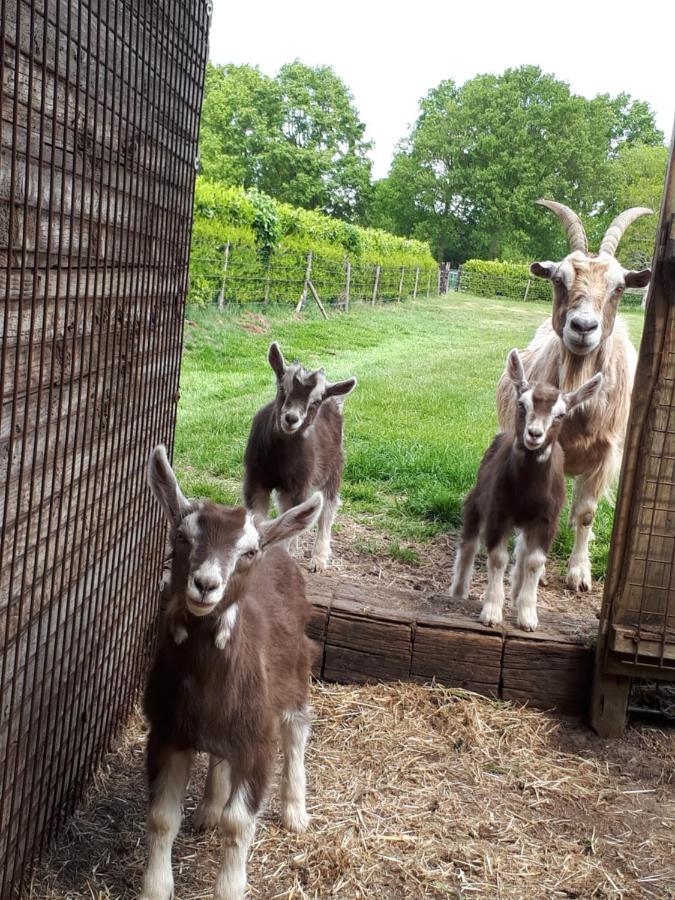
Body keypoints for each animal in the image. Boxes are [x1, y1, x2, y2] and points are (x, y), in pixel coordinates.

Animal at [140, 444, 322, 900]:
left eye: (247, 552)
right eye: (182, 536)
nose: (205, 585)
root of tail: (281, 545)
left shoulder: (258, 740)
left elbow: (239, 822)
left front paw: (229, 886)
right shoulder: (166, 732)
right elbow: (162, 817)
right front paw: (155, 887)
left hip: (296, 670)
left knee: (298, 730)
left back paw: (295, 812)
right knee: (221, 754)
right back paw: (208, 806)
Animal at [244, 342, 360, 572]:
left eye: (315, 402)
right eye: (282, 388)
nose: (291, 419)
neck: (280, 458)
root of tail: (335, 400)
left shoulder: (300, 485)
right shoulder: (256, 479)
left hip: (334, 467)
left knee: (328, 508)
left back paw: (319, 559)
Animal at [454, 352, 604, 632]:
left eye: (560, 414)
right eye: (522, 404)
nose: (534, 434)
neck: (526, 492)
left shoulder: (546, 519)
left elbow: (534, 561)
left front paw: (527, 615)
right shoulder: (498, 512)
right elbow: (497, 557)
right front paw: (492, 611)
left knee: (523, 552)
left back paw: (516, 594)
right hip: (477, 499)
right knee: (469, 543)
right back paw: (458, 591)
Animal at [494, 199, 652, 592]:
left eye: (619, 287)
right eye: (558, 279)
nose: (583, 326)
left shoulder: (605, 454)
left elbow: (586, 513)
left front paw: (579, 573)